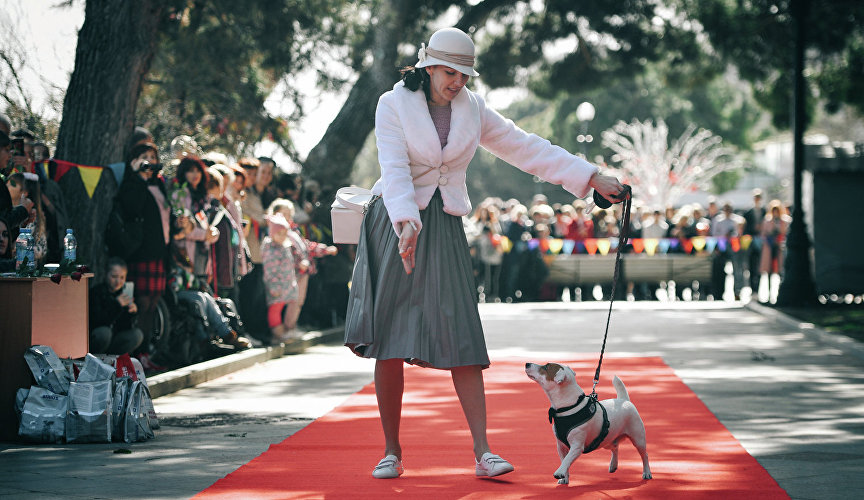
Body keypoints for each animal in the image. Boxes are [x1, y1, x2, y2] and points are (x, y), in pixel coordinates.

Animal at [524, 364, 652, 484]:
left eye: (546, 366)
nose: (527, 364)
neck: (569, 407)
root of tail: (624, 400)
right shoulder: (560, 446)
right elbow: (564, 460)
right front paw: (565, 478)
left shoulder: (577, 446)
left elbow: (567, 460)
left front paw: (560, 472)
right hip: (605, 440)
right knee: (615, 447)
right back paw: (613, 465)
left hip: (638, 438)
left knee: (644, 455)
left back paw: (647, 472)